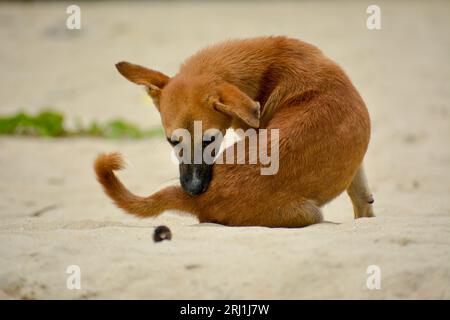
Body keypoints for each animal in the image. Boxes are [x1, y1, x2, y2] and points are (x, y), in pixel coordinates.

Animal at [96, 37, 376, 228]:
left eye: (209, 139)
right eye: (172, 141)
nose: (193, 188)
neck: (269, 65)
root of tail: (202, 200)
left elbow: (363, 200)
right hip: (312, 214)